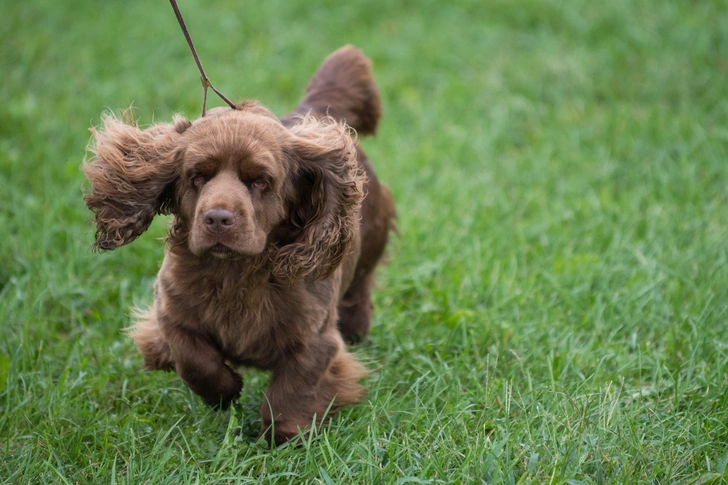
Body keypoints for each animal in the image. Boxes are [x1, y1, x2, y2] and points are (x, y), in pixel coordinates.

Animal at [83, 45, 395, 444]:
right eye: (196, 177)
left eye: (260, 181)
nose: (217, 218)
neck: (236, 271)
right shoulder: (172, 313)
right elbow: (193, 359)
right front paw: (226, 392)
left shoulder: (314, 339)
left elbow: (293, 390)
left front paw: (282, 439)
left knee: (360, 291)